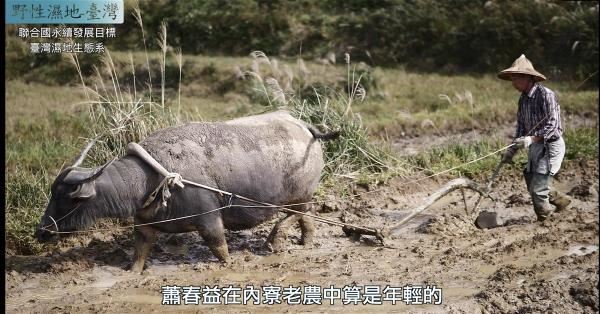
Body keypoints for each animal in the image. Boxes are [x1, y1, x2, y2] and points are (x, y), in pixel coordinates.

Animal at [35, 110, 340, 272]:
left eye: (67, 199)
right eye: (52, 194)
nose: (41, 232)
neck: (150, 179)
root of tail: (306, 126)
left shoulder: (209, 219)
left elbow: (219, 246)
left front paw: (228, 264)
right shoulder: (143, 224)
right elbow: (140, 251)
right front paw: (132, 272)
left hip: (298, 195)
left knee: (297, 213)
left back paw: (274, 240)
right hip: (302, 196)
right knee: (307, 216)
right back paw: (306, 241)